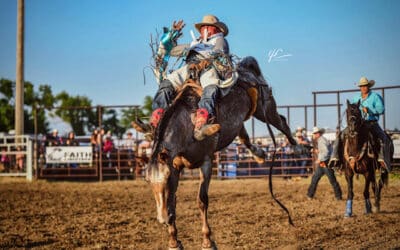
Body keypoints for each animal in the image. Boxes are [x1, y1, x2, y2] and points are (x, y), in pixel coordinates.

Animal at [145, 55, 296, 249]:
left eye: (165, 179)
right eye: (148, 181)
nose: (162, 219)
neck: (187, 124)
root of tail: (246, 67)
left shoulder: (207, 162)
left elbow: (202, 200)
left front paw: (207, 241)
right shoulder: (175, 166)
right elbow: (173, 202)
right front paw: (173, 241)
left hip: (265, 108)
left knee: (282, 122)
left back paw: (298, 146)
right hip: (243, 118)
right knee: (244, 135)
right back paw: (259, 154)